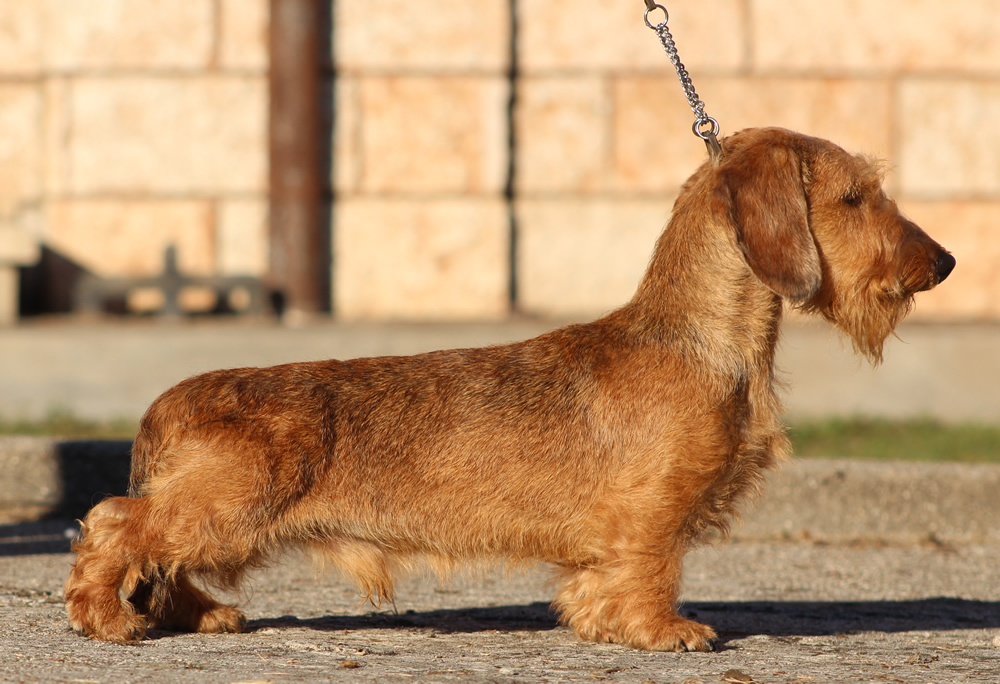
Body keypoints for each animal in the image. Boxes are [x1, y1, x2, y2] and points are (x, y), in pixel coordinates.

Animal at [60, 130, 952, 652]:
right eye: (854, 197)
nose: (942, 262)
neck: (696, 340)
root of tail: (168, 401)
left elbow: (599, 579)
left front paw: (603, 623)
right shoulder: (652, 512)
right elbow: (654, 565)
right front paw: (665, 631)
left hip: (223, 516)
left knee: (161, 553)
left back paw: (197, 614)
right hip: (231, 501)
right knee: (117, 524)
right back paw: (105, 616)